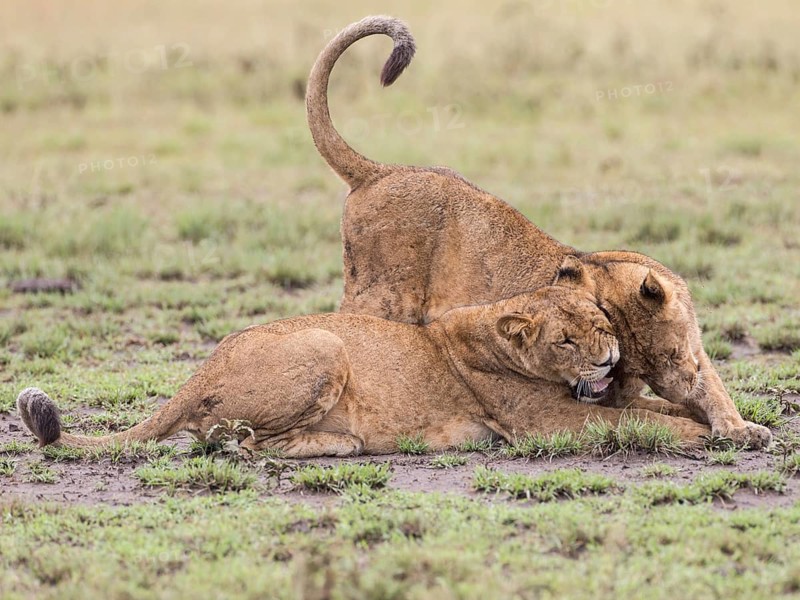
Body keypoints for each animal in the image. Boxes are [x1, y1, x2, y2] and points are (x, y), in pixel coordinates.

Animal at [304, 15, 771, 449]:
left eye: (670, 353)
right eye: (637, 367)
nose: (681, 388)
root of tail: (377, 171)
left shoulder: (695, 350)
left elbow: (715, 389)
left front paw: (740, 427)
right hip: (381, 298)